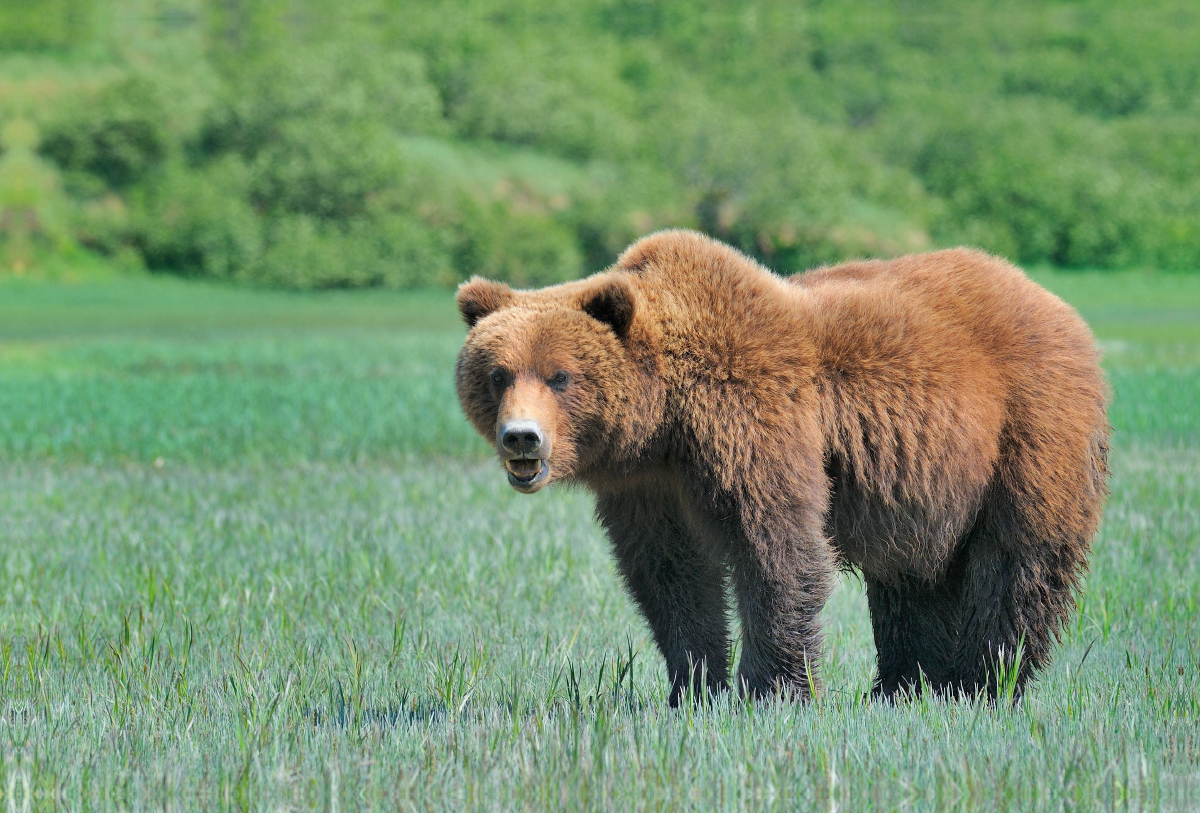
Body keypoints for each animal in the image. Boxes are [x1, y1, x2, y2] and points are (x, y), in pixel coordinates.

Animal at [456, 229, 1104, 705]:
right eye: (498, 374)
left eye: (561, 376)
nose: (522, 438)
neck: (664, 421)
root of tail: (1054, 301)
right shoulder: (646, 486)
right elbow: (669, 575)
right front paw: (694, 686)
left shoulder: (750, 419)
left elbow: (777, 548)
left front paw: (771, 691)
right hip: (923, 484)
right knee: (910, 577)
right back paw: (901, 689)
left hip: (1028, 427)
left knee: (1018, 560)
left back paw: (982, 684)